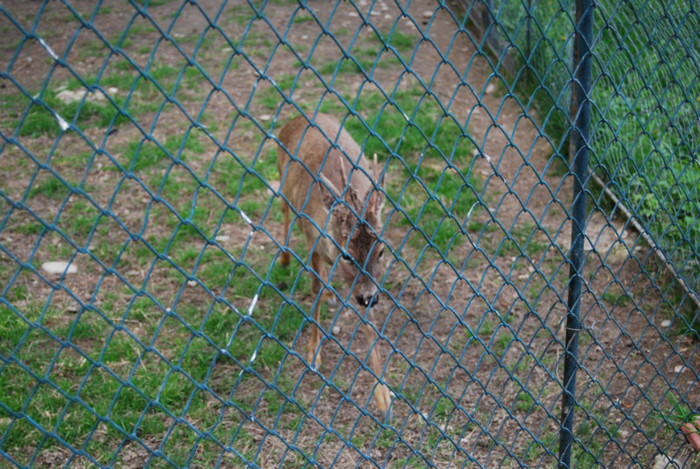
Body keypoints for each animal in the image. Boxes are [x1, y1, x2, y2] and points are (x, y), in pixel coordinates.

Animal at [276, 112, 392, 416]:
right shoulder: (313, 241)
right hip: (282, 180)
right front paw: (313, 351)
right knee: (283, 210)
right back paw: (284, 257)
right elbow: (315, 290)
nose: (369, 298)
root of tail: (301, 116)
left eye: (381, 250)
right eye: (347, 255)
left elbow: (369, 323)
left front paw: (383, 395)